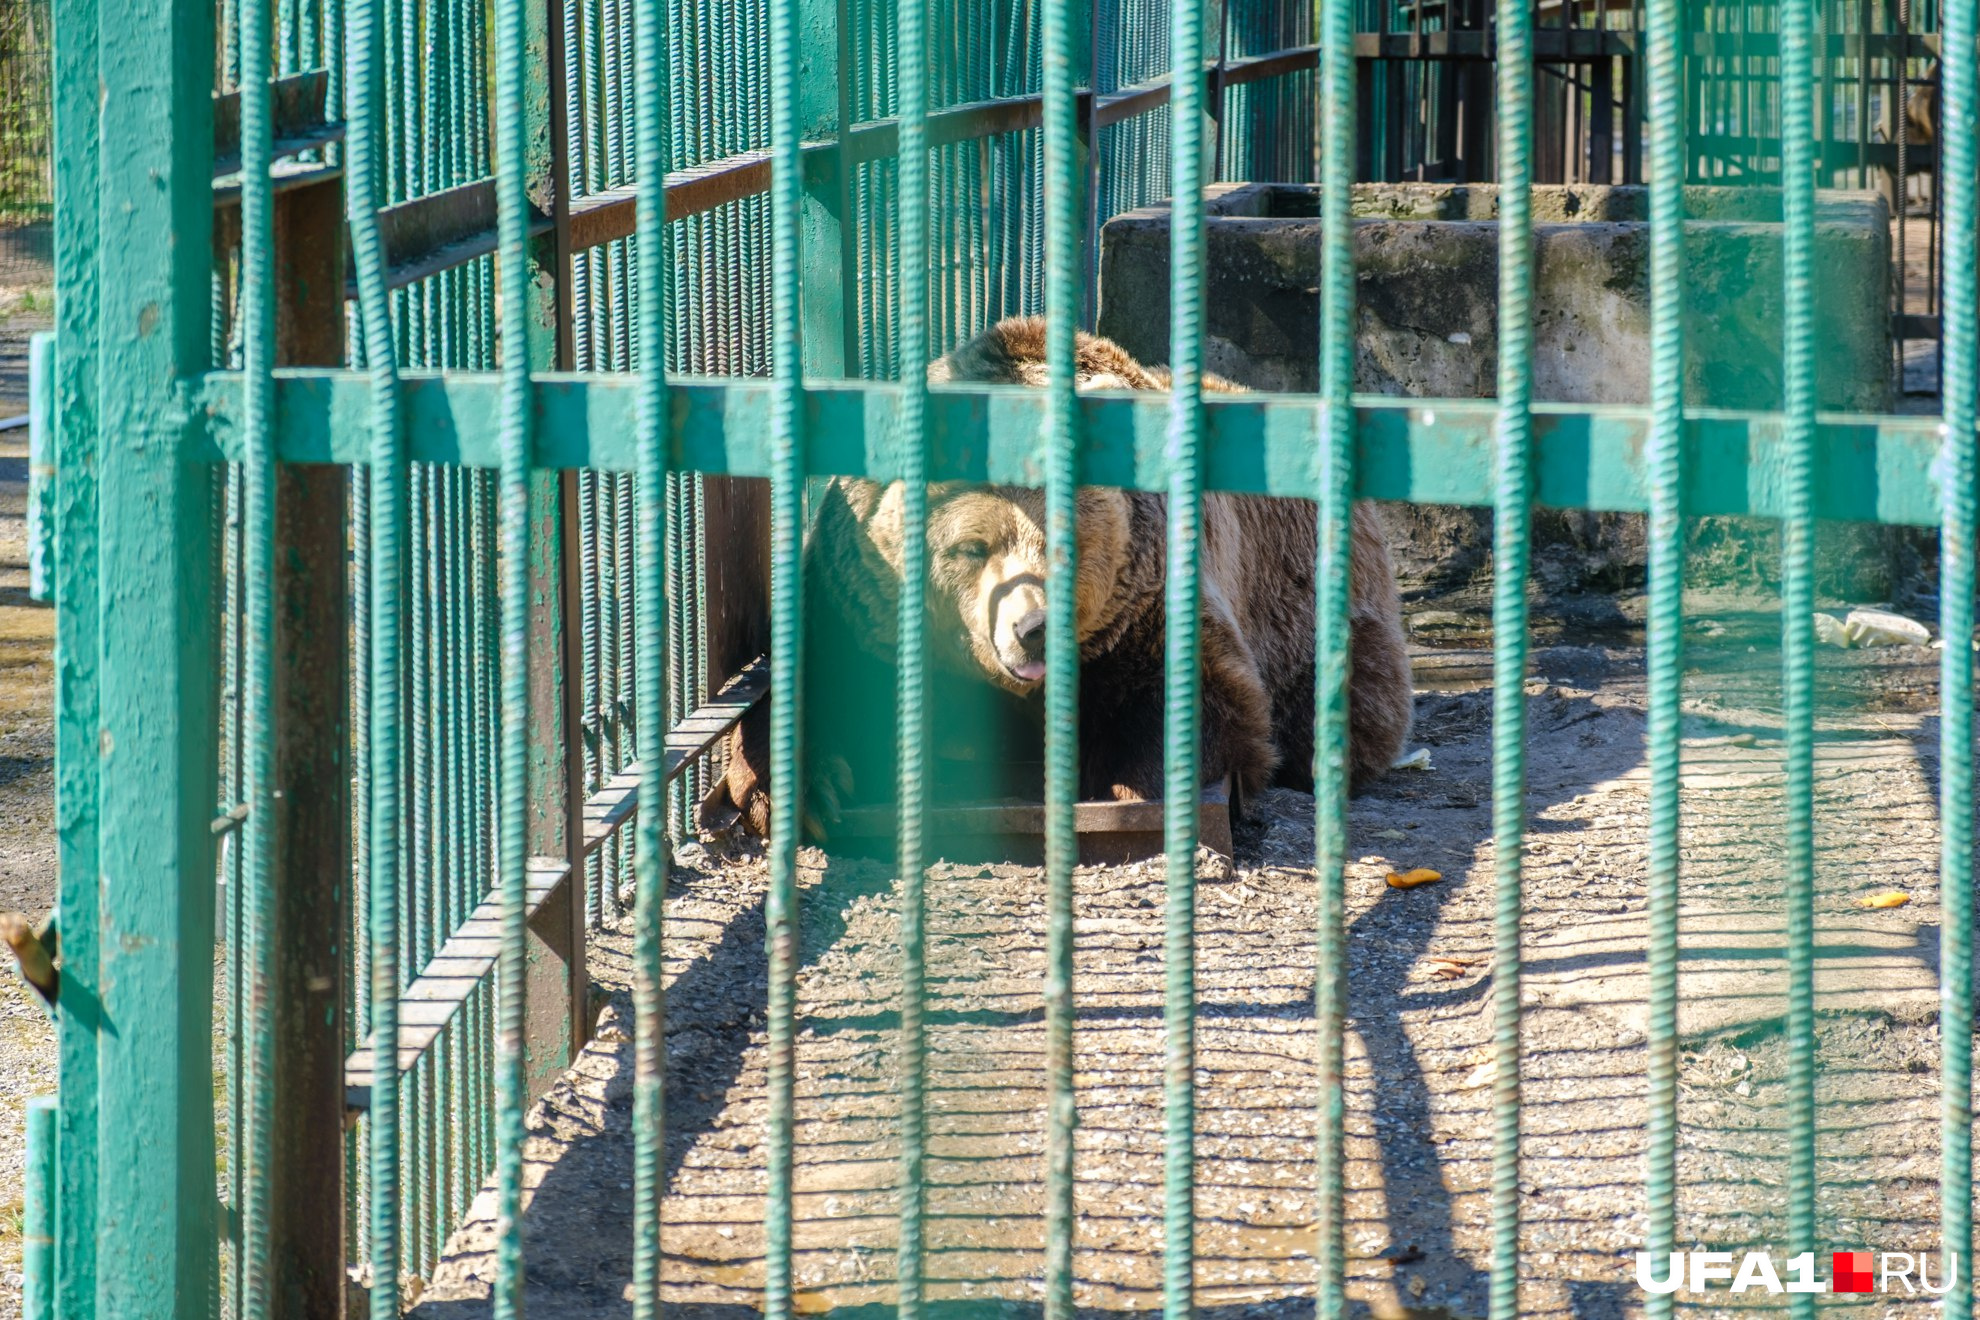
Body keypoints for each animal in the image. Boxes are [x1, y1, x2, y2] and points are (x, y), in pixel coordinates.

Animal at [720, 314, 1417, 835]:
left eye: (1066, 542)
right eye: (971, 548)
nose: (1034, 628)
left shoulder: (1143, 610)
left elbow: (1204, 697)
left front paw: (1124, 783)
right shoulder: (860, 596)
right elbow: (806, 681)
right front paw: (812, 789)